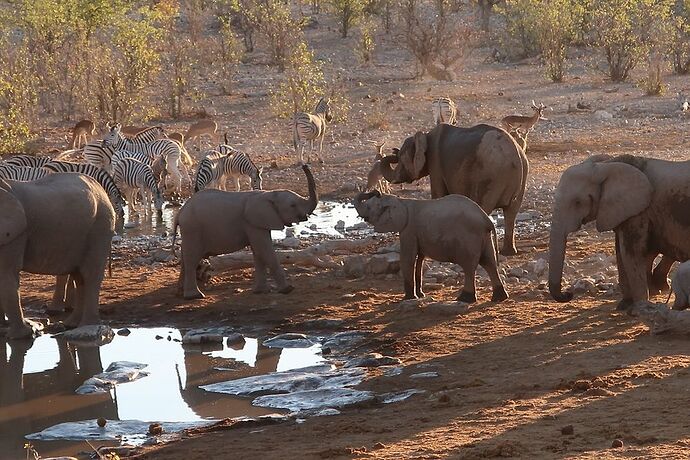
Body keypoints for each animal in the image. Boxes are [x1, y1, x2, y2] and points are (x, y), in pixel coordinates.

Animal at [0, 174, 114, 340]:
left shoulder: (15, 234)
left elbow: (6, 275)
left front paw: (19, 337)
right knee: (79, 276)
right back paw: (71, 324)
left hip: (101, 227)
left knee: (90, 274)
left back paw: (86, 325)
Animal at [173, 164, 316, 300]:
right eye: (293, 205)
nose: (304, 165)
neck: (268, 194)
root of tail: (180, 213)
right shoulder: (253, 222)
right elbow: (264, 250)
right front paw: (288, 289)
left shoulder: (257, 223)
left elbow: (258, 252)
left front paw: (261, 291)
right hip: (193, 229)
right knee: (192, 259)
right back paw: (195, 296)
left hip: (189, 230)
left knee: (185, 258)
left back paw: (180, 294)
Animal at [354, 189, 506, 304]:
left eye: (368, 207)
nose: (376, 191)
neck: (400, 200)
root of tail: (486, 219)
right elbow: (420, 259)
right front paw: (420, 296)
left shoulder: (408, 229)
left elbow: (408, 258)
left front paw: (409, 298)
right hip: (484, 236)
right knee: (489, 262)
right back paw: (499, 298)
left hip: (469, 237)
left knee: (470, 266)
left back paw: (464, 299)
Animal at [376, 124, 528, 256]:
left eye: (401, 159)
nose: (393, 152)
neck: (424, 136)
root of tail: (514, 156)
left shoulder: (435, 165)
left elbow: (438, 194)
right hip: (520, 176)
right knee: (511, 212)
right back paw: (508, 252)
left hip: (490, 177)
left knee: (484, 207)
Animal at [544, 155, 688, 310]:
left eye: (577, 202)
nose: (568, 294)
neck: (606, 165)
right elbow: (620, 251)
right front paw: (625, 305)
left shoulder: (639, 211)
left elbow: (631, 252)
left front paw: (639, 308)